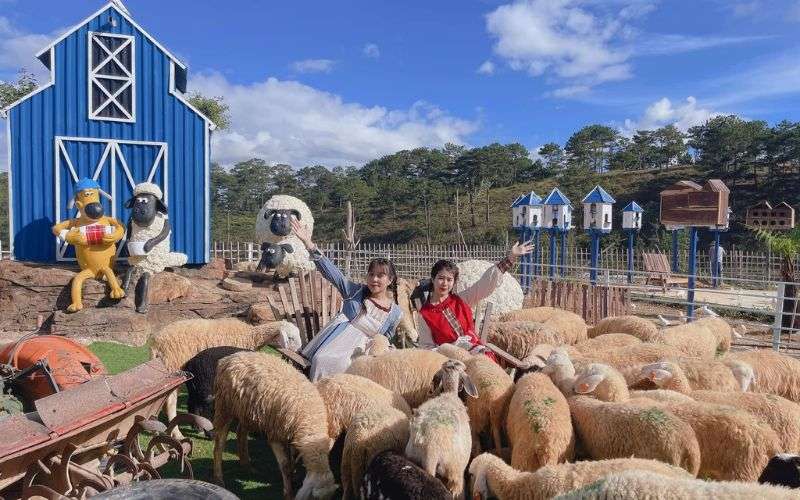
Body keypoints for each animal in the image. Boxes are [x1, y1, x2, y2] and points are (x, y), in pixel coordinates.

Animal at [211, 352, 336, 500]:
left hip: (247, 410)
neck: (310, 420)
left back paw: (247, 465)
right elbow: (285, 465)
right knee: (219, 443)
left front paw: (293, 477)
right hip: (225, 406)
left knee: (240, 431)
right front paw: (288, 492)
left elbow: (292, 460)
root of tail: (230, 358)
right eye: (314, 498)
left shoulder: (292, 436)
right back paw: (218, 478)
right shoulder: (276, 434)